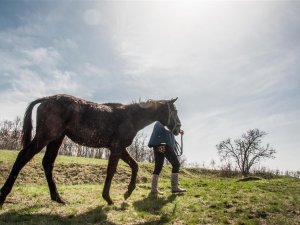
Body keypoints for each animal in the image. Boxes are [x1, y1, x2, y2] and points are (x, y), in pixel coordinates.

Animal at [0, 94, 180, 207]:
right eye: (175, 111)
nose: (179, 129)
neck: (130, 117)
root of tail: (46, 99)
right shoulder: (116, 149)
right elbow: (111, 171)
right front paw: (108, 198)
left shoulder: (120, 149)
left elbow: (135, 166)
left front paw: (127, 193)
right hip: (45, 137)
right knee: (23, 156)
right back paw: (3, 195)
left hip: (56, 139)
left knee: (47, 163)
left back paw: (58, 198)